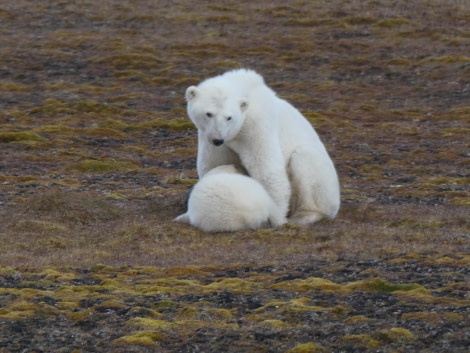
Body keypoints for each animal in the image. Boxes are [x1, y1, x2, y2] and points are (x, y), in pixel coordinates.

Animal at [182, 69, 340, 226]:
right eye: (208, 114)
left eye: (229, 117)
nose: (217, 139)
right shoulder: (211, 137)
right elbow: (216, 163)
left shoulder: (256, 126)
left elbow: (266, 169)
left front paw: (276, 216)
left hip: (325, 183)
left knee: (305, 159)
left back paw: (303, 216)